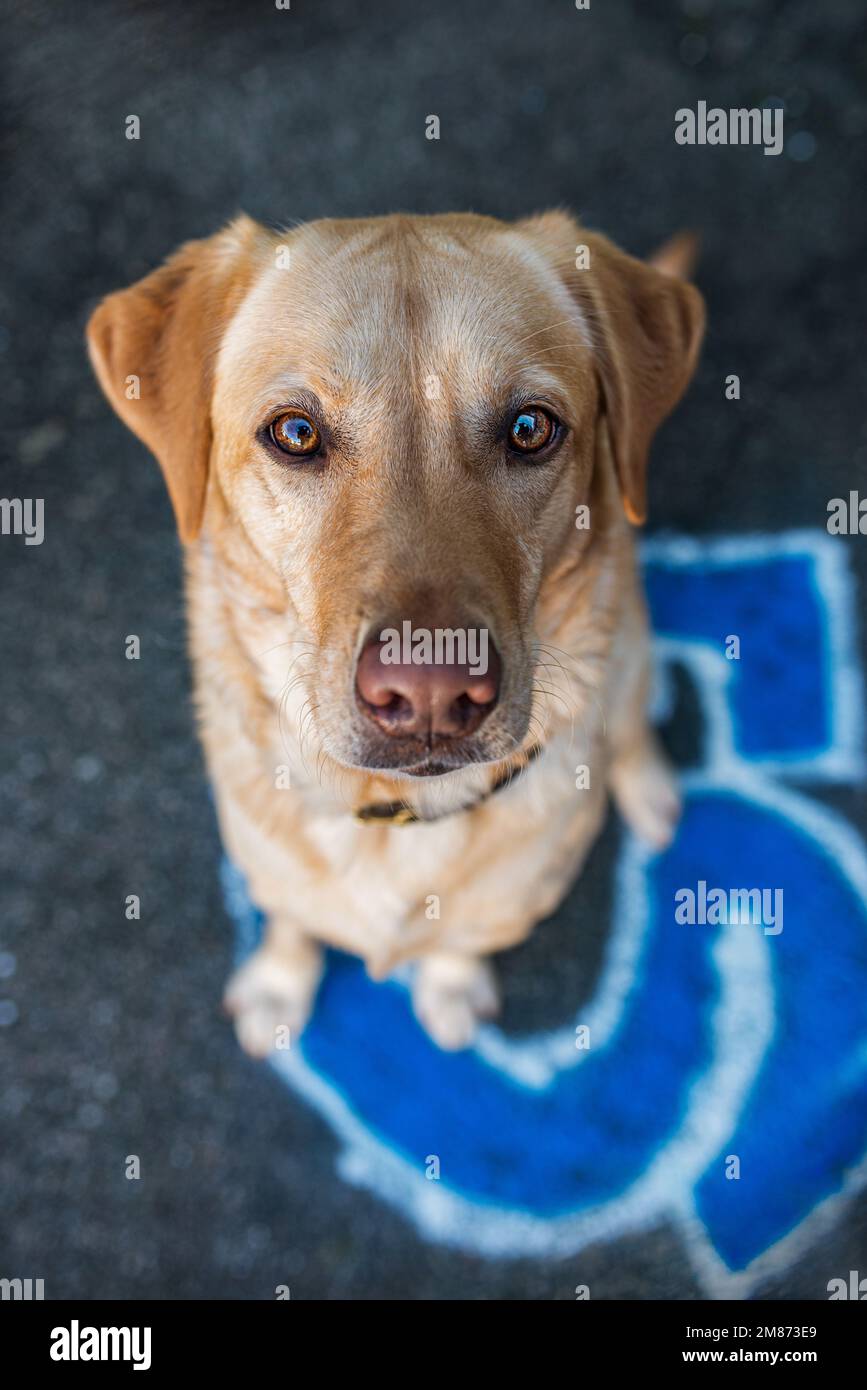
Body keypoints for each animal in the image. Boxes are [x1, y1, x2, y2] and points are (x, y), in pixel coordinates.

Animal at [88, 211, 705, 1045]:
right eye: (294, 432)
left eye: (529, 427)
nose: (431, 694)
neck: (392, 814)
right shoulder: (268, 866)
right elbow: (291, 920)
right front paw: (279, 983)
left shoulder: (499, 908)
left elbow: (456, 940)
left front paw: (448, 983)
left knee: (632, 718)